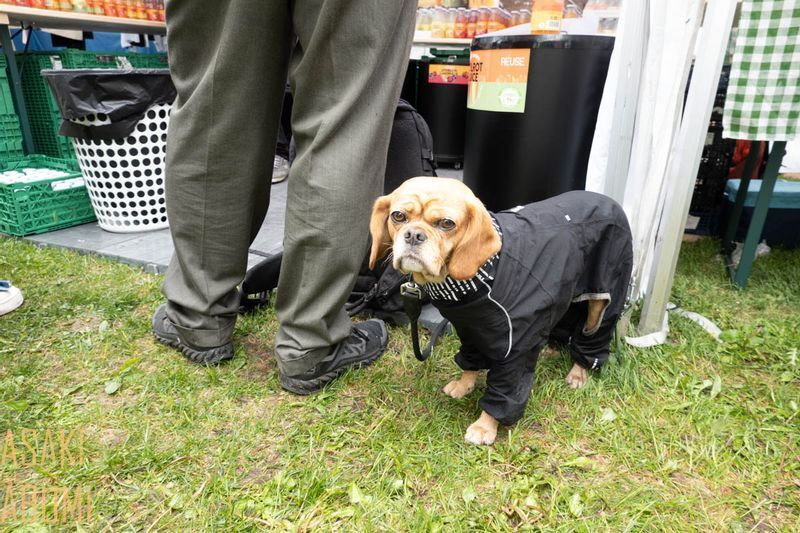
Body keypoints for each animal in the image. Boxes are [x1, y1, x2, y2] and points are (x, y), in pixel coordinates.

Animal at [368, 179, 632, 444]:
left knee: (592, 335)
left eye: (446, 223)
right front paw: (464, 386)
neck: (483, 274)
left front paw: (485, 427)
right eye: (398, 216)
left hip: (603, 302)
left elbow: (504, 392)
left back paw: (579, 372)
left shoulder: (516, 349)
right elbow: (470, 362)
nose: (413, 235)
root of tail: (608, 200)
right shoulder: (468, 330)